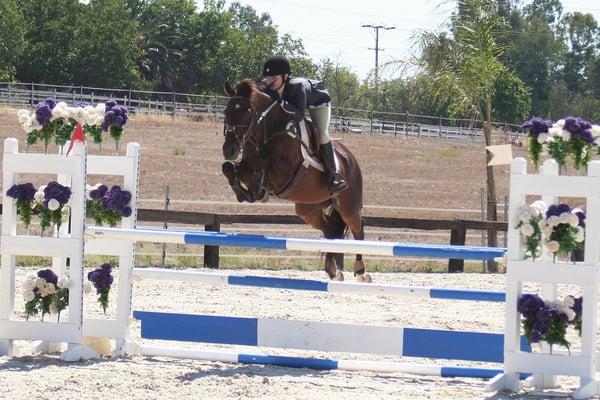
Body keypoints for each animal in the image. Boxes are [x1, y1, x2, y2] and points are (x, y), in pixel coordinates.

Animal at [220, 79, 370, 282]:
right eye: (226, 111)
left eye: (248, 112)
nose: (229, 150)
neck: (266, 131)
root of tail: (351, 159)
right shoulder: (245, 168)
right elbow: (228, 168)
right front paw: (244, 193)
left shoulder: (284, 173)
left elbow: (264, 162)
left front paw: (257, 191)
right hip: (308, 209)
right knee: (330, 229)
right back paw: (333, 271)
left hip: (348, 207)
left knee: (358, 228)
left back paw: (361, 272)